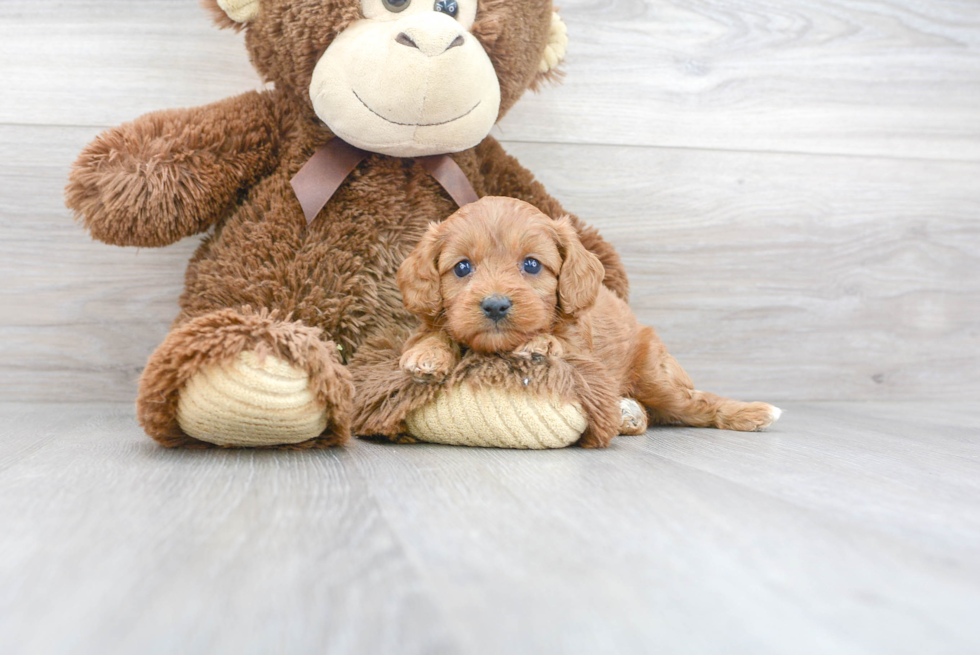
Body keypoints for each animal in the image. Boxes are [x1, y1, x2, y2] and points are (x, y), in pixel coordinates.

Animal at [398, 197, 780, 438]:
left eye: (532, 265)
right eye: (462, 267)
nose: (495, 305)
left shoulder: (582, 347)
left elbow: (561, 343)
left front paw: (539, 344)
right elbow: (433, 333)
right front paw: (427, 355)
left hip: (656, 377)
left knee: (696, 402)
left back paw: (751, 413)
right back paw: (627, 414)